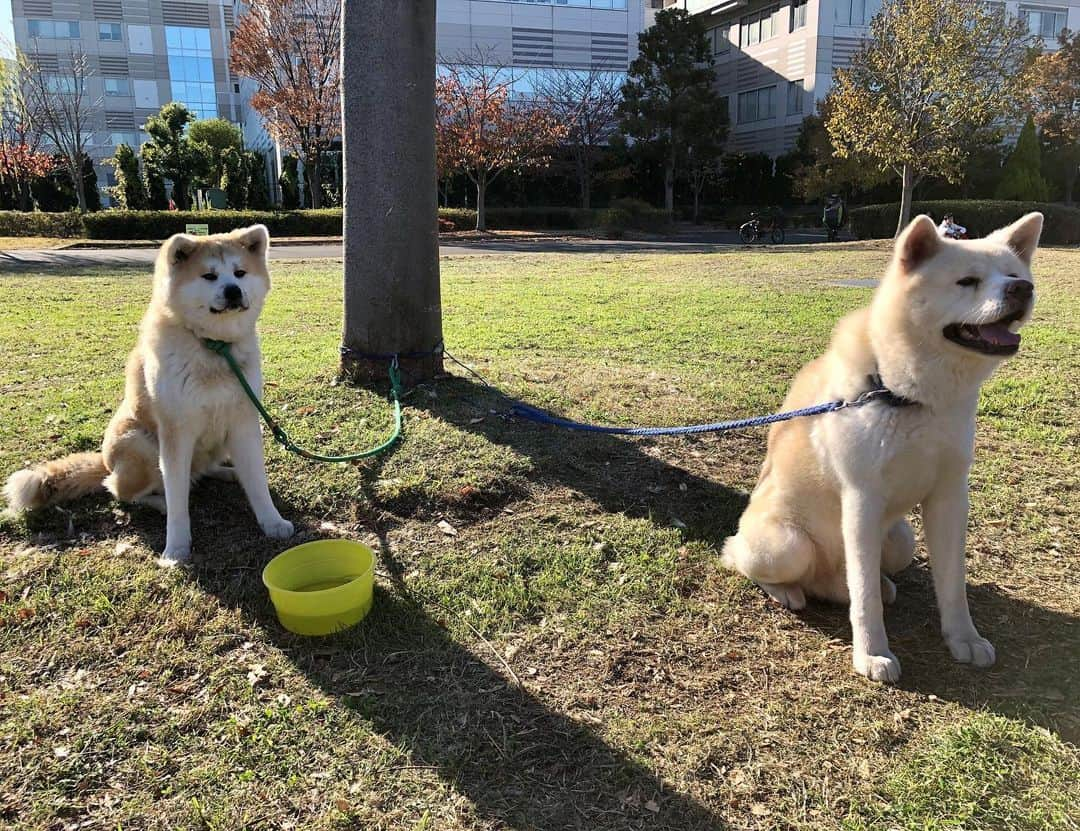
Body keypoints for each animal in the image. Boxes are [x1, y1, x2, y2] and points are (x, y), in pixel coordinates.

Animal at [721, 211, 1041, 682]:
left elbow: (952, 584)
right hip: (786, 545)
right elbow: (865, 600)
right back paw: (787, 591)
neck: (907, 394)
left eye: (1015, 276)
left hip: (901, 541)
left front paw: (964, 639)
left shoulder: (949, 497)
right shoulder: (862, 499)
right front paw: (871, 654)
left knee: (856, 580)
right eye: (967, 281)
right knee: (757, 564)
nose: (1023, 290)